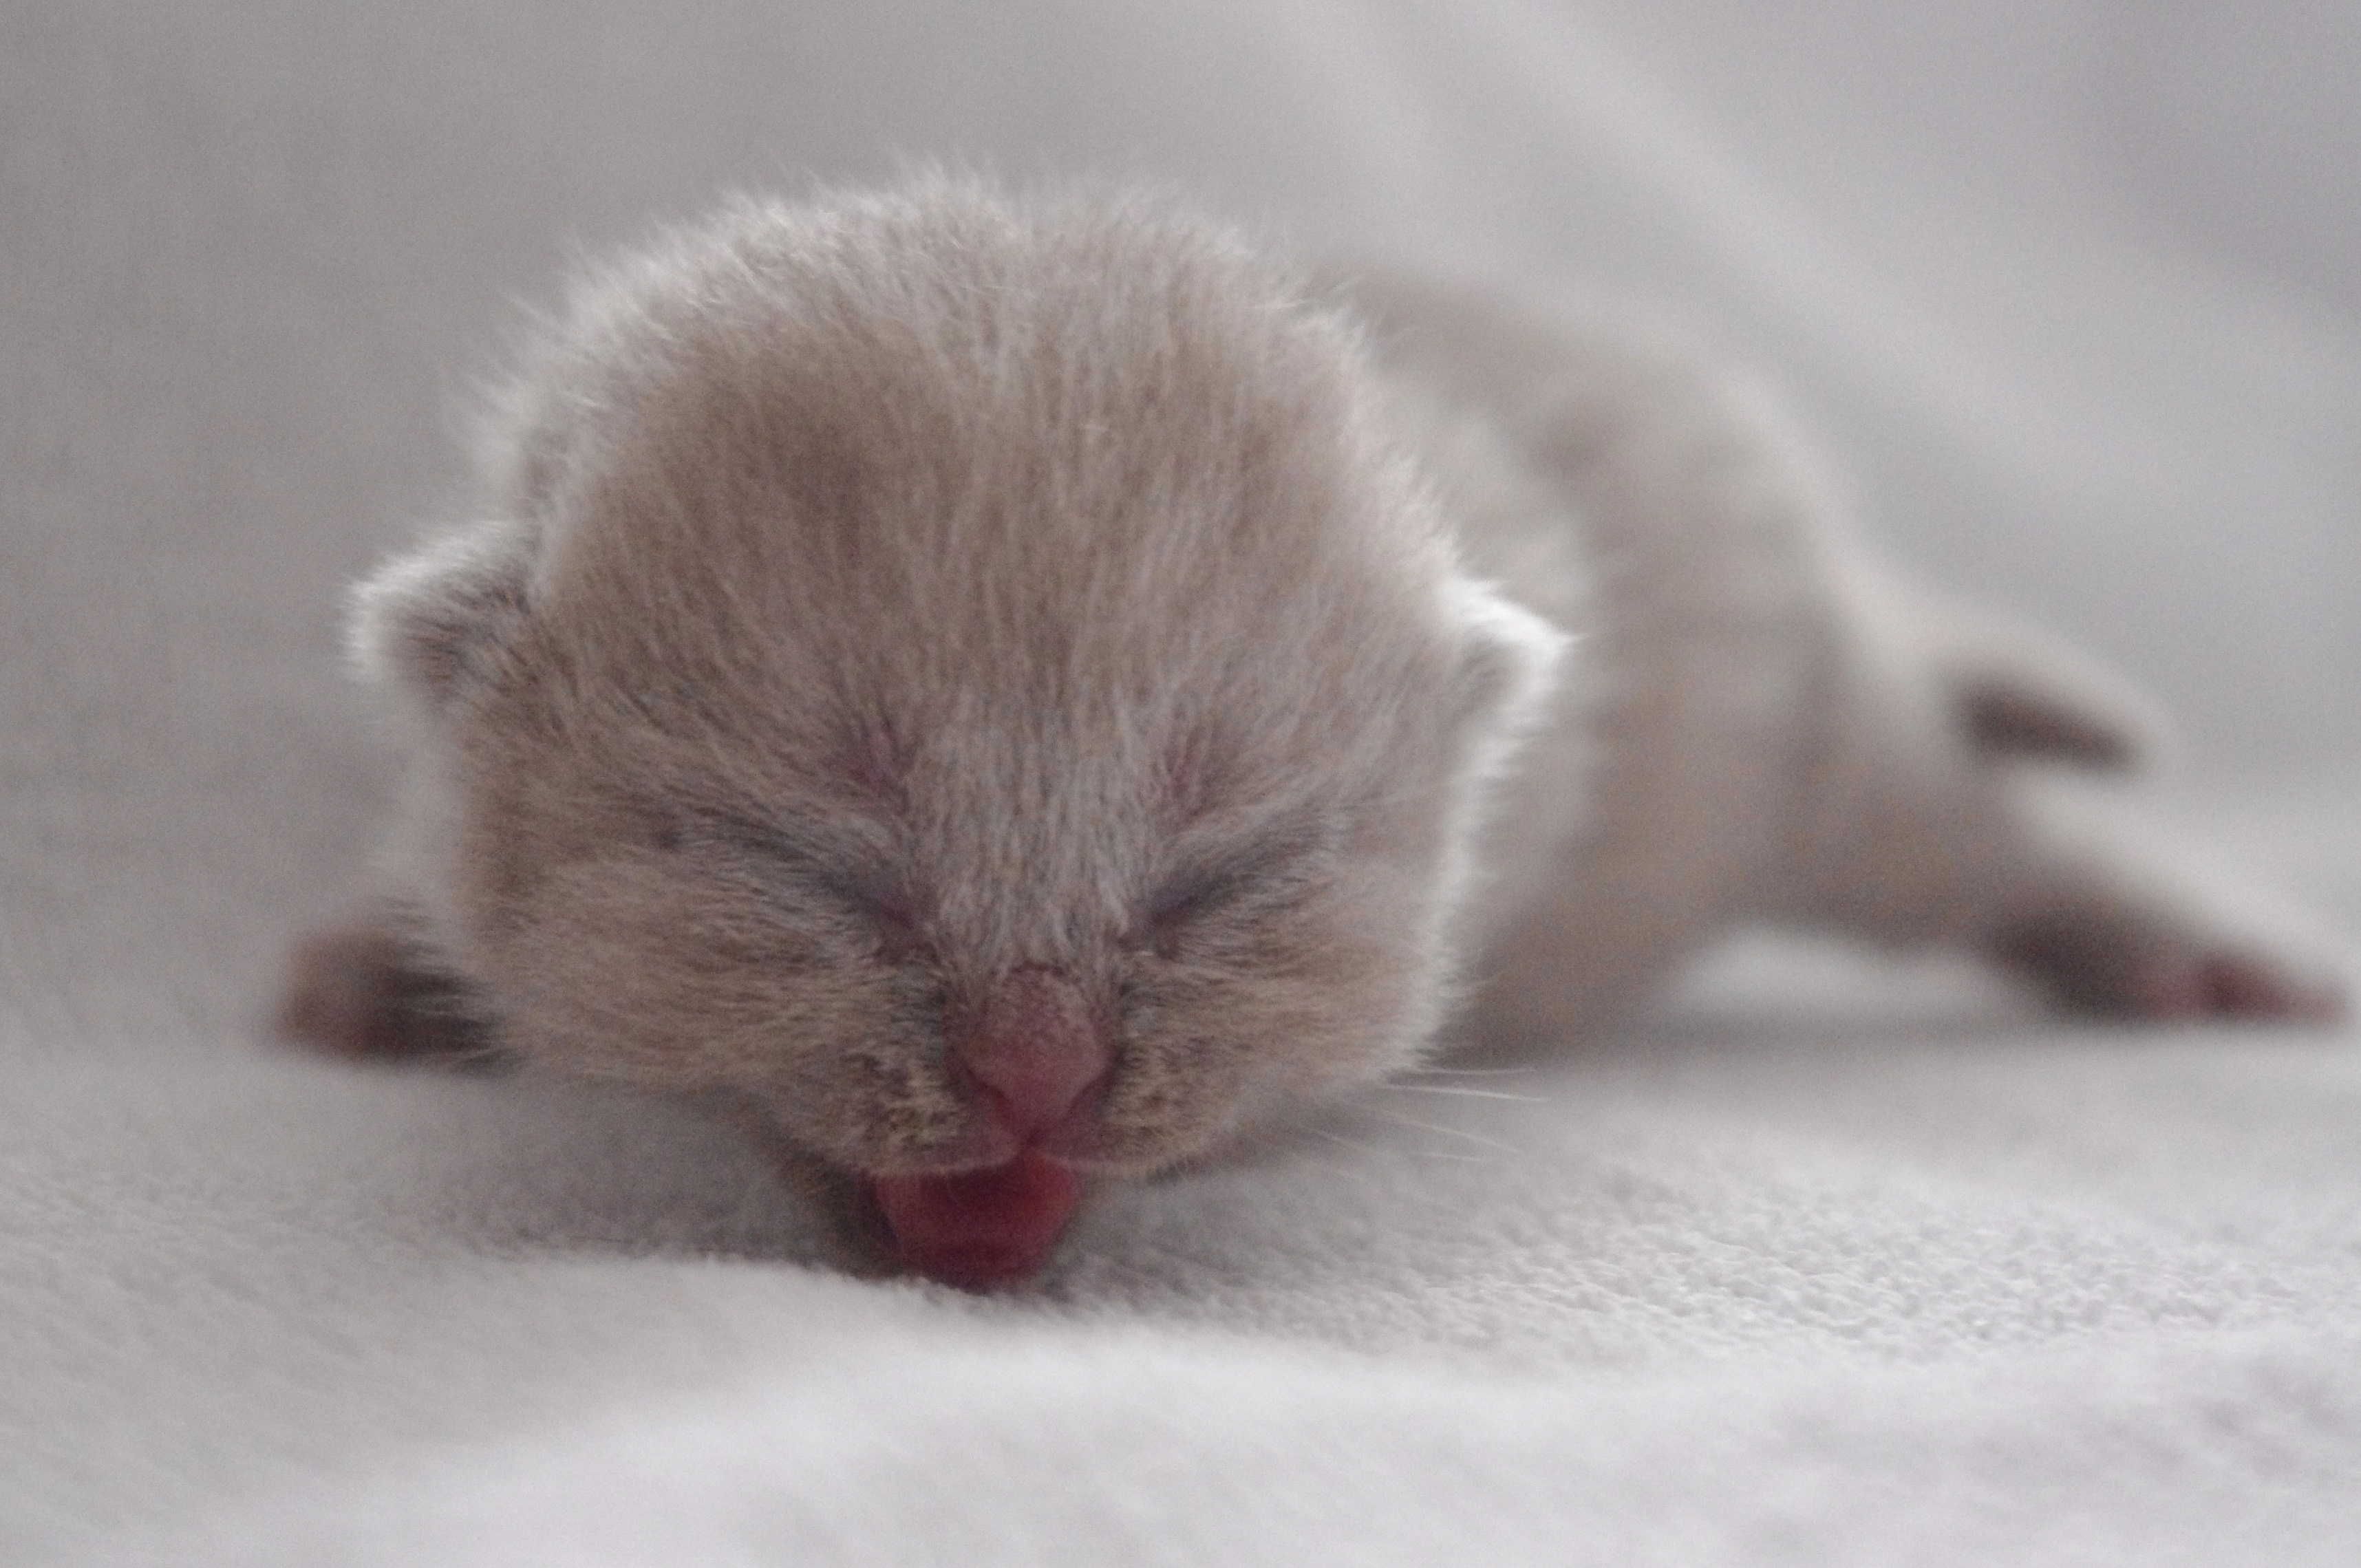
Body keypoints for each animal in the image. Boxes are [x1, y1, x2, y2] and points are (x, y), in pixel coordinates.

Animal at [281, 178, 2344, 1287]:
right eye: (812, 864)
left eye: (1224, 874)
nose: (1036, 1067)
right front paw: (381, 962)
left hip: (1812, 751)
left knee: (1975, 829)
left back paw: (2198, 956)